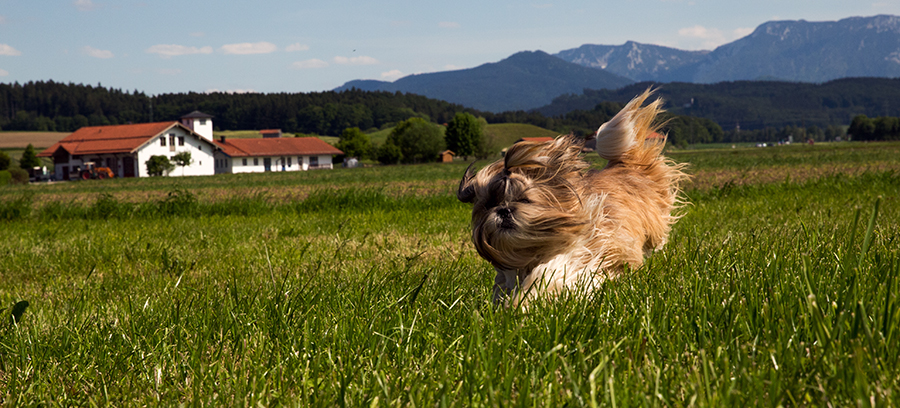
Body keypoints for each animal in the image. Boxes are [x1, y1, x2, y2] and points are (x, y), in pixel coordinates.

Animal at [460, 89, 684, 306]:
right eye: (490, 204)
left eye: (524, 200)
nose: (504, 210)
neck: (534, 247)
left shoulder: (579, 256)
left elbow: (546, 276)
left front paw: (520, 304)